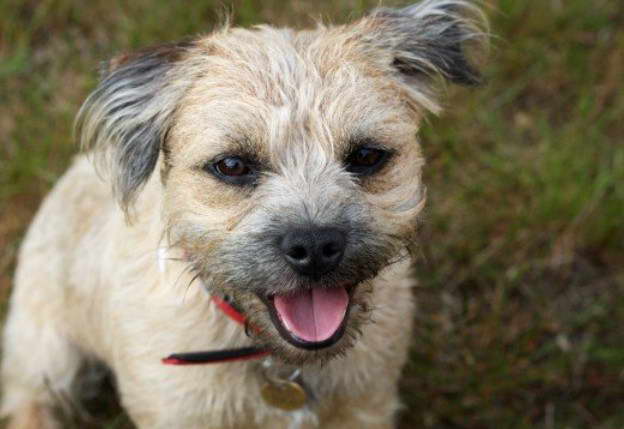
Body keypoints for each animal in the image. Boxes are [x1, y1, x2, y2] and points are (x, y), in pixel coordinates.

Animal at [1, 1, 488, 426]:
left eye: (368, 156)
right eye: (232, 165)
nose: (315, 246)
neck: (278, 361)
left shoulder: (367, 406)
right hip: (46, 350)